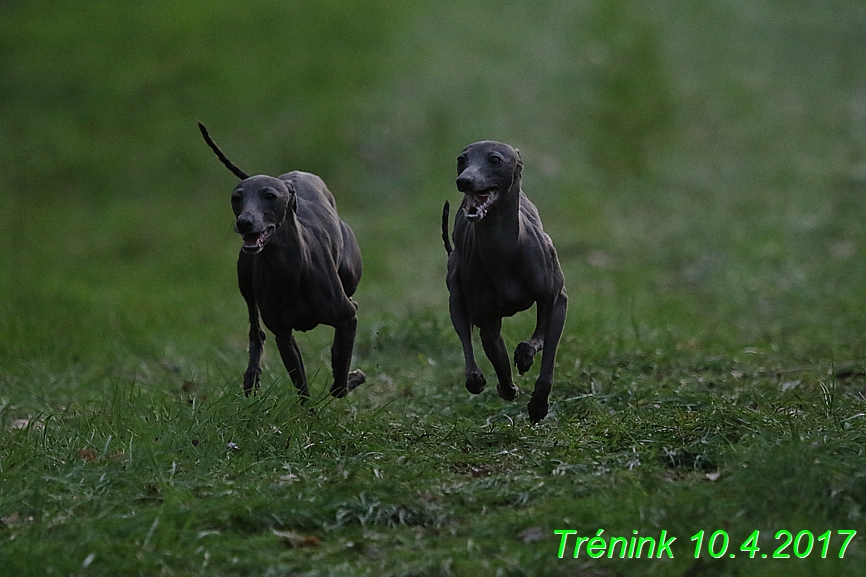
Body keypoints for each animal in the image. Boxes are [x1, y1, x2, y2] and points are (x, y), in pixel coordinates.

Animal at [197, 122, 362, 400]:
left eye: (270, 196)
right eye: (236, 197)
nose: (244, 223)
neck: (291, 270)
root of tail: (292, 176)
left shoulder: (347, 318)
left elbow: (339, 384)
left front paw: (352, 375)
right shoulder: (283, 335)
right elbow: (303, 388)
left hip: (349, 277)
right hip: (245, 283)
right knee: (256, 331)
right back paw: (251, 376)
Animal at [438, 140, 568, 424]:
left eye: (495, 160)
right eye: (461, 160)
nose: (464, 181)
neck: (505, 249)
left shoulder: (557, 300)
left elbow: (546, 355)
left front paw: (538, 405)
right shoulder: (488, 322)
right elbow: (500, 361)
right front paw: (508, 387)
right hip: (456, 296)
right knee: (466, 340)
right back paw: (477, 377)